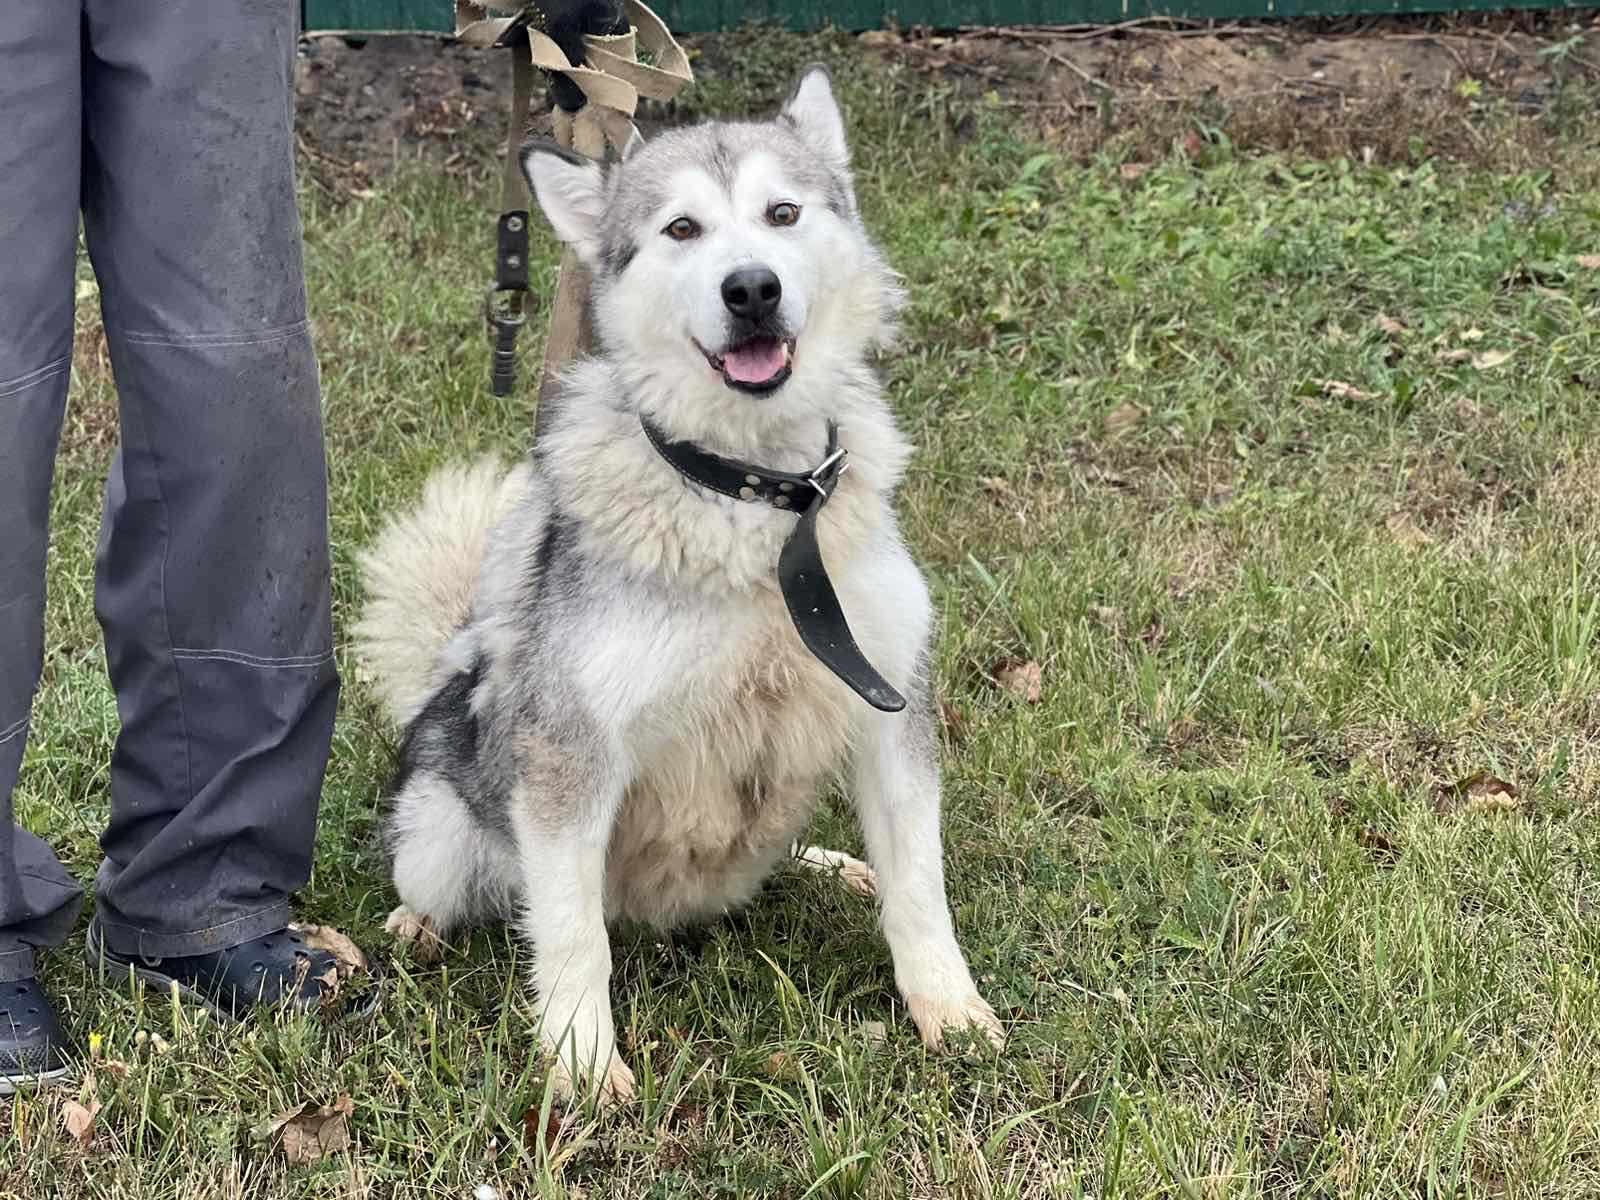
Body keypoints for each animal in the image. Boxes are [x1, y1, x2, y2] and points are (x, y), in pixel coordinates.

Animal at [355, 63, 998, 1100]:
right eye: (682, 229)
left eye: (783, 213)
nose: (752, 288)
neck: (757, 502)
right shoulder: (570, 757)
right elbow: (572, 936)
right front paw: (582, 1064)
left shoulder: (888, 709)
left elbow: (920, 890)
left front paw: (949, 1009)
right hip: (448, 834)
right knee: (460, 886)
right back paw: (417, 927)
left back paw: (828, 865)